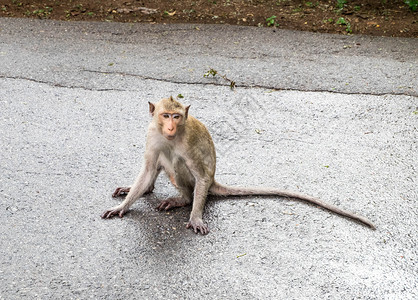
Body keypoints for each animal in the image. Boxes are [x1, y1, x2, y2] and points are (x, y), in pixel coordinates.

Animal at [101, 96, 376, 234]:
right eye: (165, 115)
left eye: (176, 116)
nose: (170, 127)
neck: (170, 135)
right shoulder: (152, 135)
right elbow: (149, 167)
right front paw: (122, 206)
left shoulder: (188, 144)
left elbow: (200, 174)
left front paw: (195, 216)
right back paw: (145, 190)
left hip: (196, 176)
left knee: (183, 167)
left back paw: (184, 199)